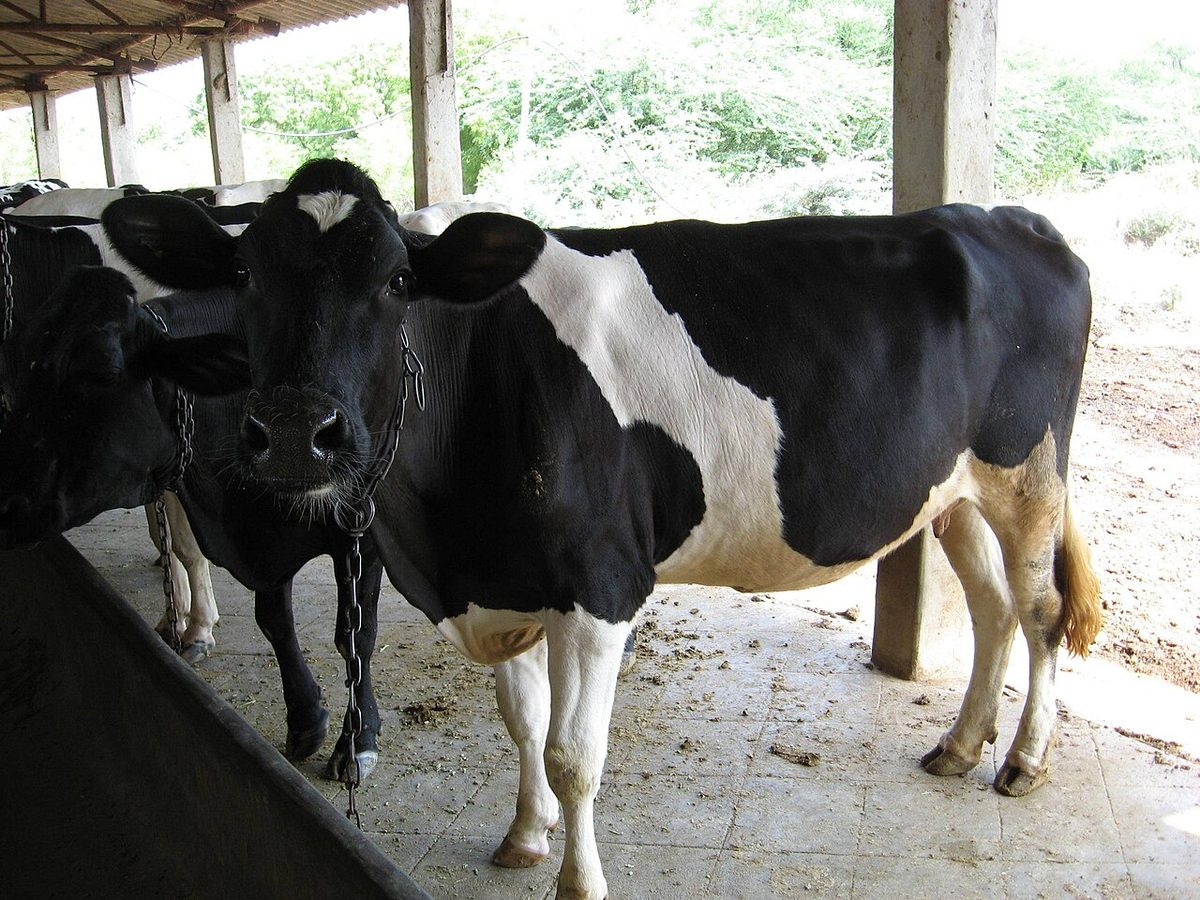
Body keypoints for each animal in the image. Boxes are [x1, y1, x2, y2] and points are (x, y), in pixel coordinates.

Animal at [0, 265, 387, 781]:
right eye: (14, 367)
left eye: (102, 372)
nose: (6, 505)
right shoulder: (259, 535)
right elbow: (274, 621)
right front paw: (306, 719)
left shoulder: (362, 529)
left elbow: (355, 637)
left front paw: (356, 742)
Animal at [102, 158, 1101, 899]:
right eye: (243, 274)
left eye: (396, 280)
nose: (294, 432)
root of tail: (1013, 217)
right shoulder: (503, 581)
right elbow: (521, 720)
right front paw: (522, 833)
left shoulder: (600, 587)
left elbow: (573, 753)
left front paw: (578, 879)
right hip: (952, 490)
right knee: (991, 607)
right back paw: (960, 746)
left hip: (1029, 474)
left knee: (1041, 611)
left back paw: (1023, 760)